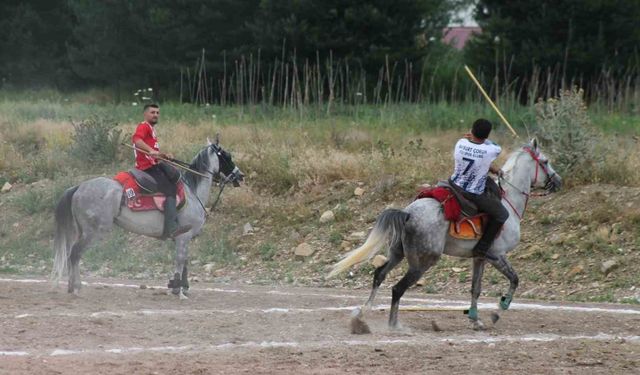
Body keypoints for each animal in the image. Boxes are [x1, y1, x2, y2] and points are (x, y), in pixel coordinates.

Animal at [52, 138, 242, 300]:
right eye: (227, 156)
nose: (240, 176)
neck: (192, 192)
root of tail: (79, 187)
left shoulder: (183, 239)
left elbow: (185, 261)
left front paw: (180, 287)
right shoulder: (183, 236)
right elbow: (181, 260)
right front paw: (179, 291)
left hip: (82, 230)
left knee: (71, 254)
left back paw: (71, 287)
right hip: (94, 231)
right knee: (75, 254)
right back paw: (76, 288)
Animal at [328, 140, 564, 330]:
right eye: (545, 161)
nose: (559, 181)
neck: (509, 201)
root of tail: (407, 213)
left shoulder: (480, 257)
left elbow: (475, 289)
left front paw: (476, 320)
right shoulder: (496, 255)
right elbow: (514, 279)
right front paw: (498, 310)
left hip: (398, 253)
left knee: (379, 275)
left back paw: (364, 313)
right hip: (423, 262)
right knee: (397, 288)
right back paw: (394, 325)